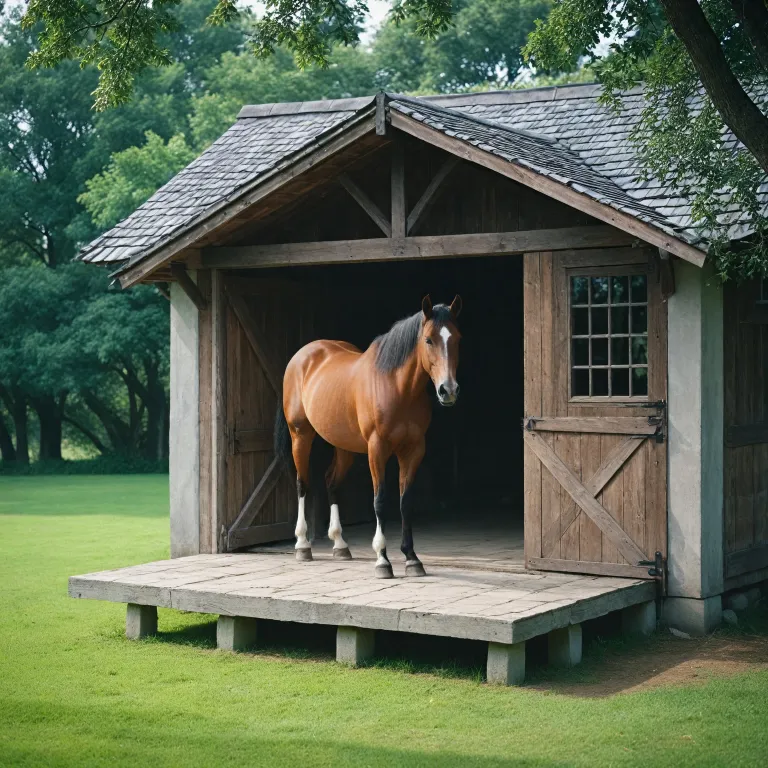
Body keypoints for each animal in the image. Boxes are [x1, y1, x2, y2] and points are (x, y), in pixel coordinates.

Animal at [274, 295, 462, 579]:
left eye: (458, 338)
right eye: (429, 339)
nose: (447, 390)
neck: (397, 386)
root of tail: (301, 357)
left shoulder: (414, 449)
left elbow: (405, 501)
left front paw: (412, 559)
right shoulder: (377, 448)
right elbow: (380, 501)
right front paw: (382, 560)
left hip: (344, 445)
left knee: (332, 482)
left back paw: (340, 545)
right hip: (301, 436)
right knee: (302, 484)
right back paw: (303, 545)